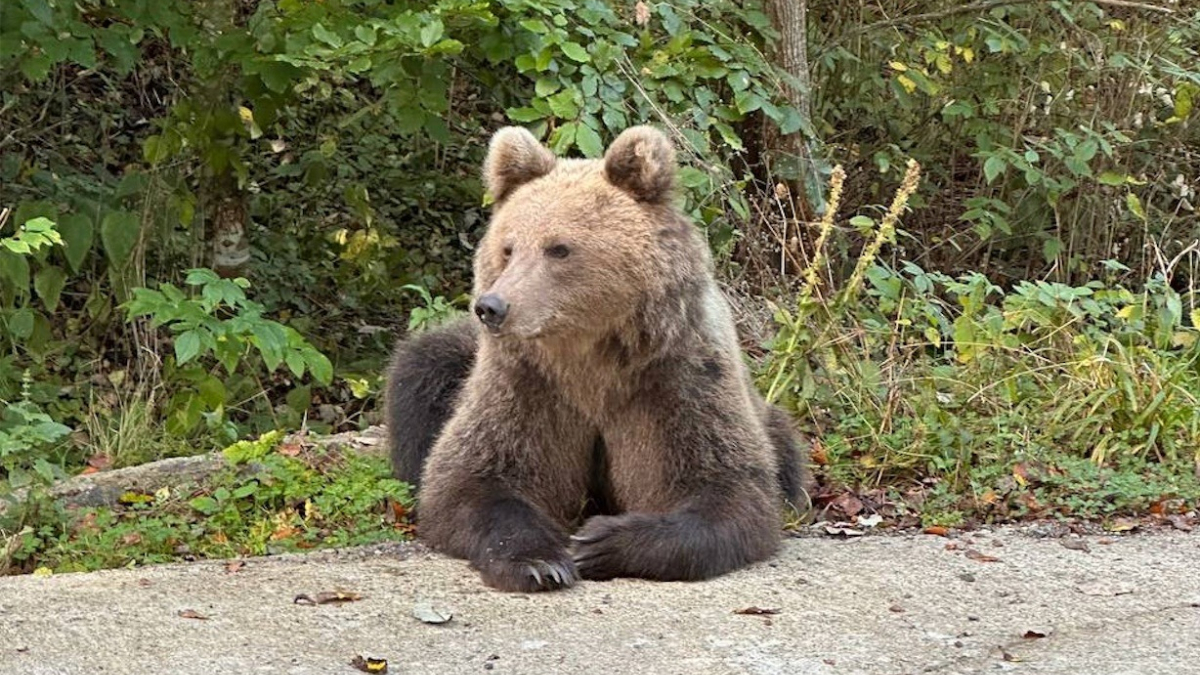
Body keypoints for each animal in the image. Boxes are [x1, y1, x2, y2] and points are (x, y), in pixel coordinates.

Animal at [384, 126, 816, 588]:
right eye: (508, 248)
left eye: (558, 248)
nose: (492, 307)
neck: (588, 356)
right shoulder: (526, 382)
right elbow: (471, 479)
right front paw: (540, 560)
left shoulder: (676, 377)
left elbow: (728, 488)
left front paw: (600, 541)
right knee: (423, 369)